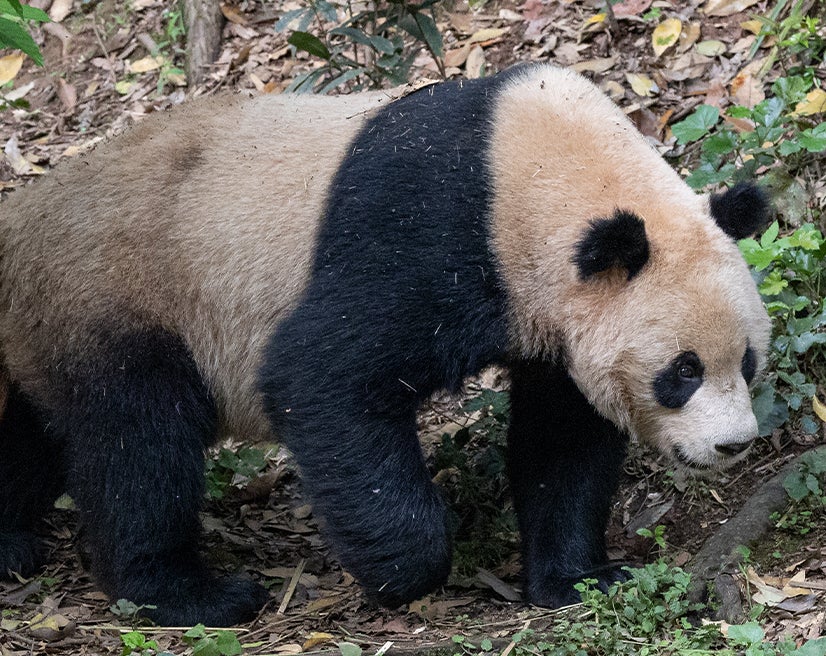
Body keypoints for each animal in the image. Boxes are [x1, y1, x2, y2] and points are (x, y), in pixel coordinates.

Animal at [0, 64, 771, 627]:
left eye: (748, 362)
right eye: (683, 372)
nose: (733, 445)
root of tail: (21, 222)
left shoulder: (555, 314)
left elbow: (563, 438)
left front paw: (581, 577)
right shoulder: (431, 234)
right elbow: (322, 375)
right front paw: (402, 570)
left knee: (37, 435)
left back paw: (13, 544)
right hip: (118, 293)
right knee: (139, 442)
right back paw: (190, 595)